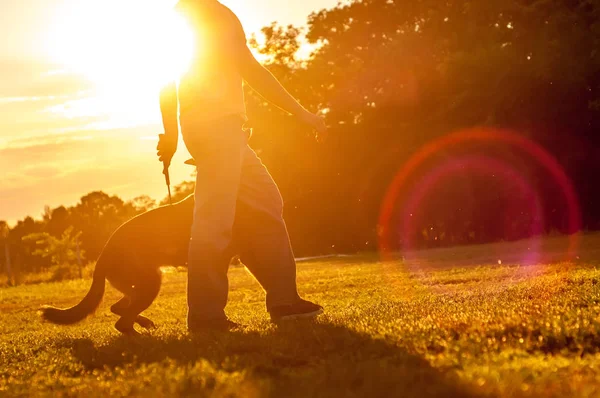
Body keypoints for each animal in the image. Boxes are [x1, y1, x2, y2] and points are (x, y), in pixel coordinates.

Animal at [40, 194, 195, 334]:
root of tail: (102, 257)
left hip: (136, 289)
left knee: (116, 309)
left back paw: (143, 323)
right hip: (149, 285)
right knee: (122, 323)